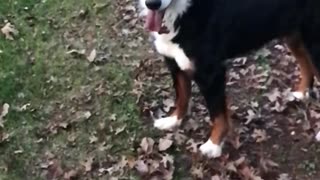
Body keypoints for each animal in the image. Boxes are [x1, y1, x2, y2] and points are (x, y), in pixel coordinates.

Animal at [139, 0, 320, 158]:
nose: (153, 4)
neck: (185, 10)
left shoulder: (211, 72)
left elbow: (218, 115)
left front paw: (213, 145)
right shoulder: (174, 63)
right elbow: (181, 97)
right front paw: (173, 120)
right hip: (294, 34)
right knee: (306, 63)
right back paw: (302, 92)